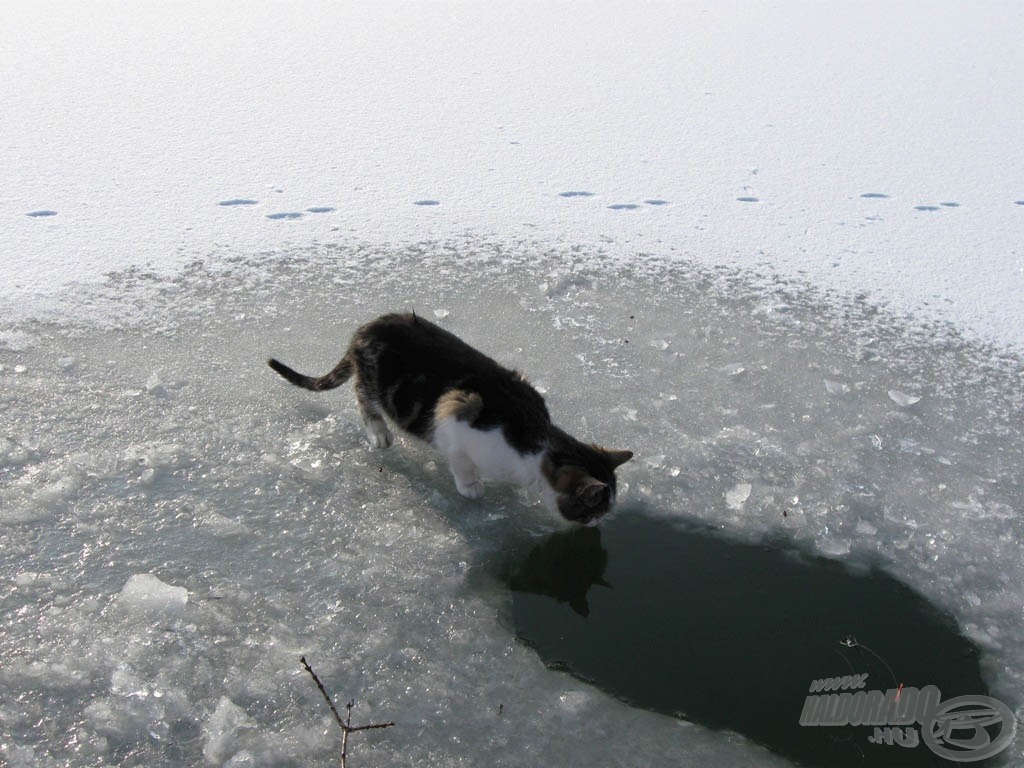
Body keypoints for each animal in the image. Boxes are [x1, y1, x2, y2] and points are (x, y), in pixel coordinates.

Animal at [266, 311, 630, 524]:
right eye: (594, 510)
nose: (599, 522)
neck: (533, 441)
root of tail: (365, 328)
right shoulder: (455, 415)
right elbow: (461, 461)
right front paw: (470, 487)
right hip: (375, 381)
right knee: (362, 396)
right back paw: (379, 433)